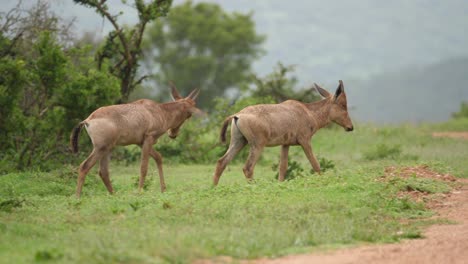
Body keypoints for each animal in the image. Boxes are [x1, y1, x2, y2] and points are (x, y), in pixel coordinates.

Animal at [71, 83, 201, 197]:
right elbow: (143, 167)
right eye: (189, 114)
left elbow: (158, 157)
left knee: (103, 172)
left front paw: (163, 190)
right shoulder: (148, 139)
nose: (173, 134)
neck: (157, 110)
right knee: (84, 167)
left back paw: (114, 195)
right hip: (100, 149)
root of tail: (88, 120)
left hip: (107, 149)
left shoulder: (141, 142)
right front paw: (139, 192)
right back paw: (78, 197)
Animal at [212, 79, 352, 185]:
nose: (350, 127)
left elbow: (283, 167)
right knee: (248, 168)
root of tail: (237, 115)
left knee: (221, 162)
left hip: (239, 142)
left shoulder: (285, 144)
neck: (307, 111)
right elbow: (315, 164)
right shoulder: (305, 141)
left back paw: (214, 187)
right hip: (257, 145)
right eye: (343, 105)